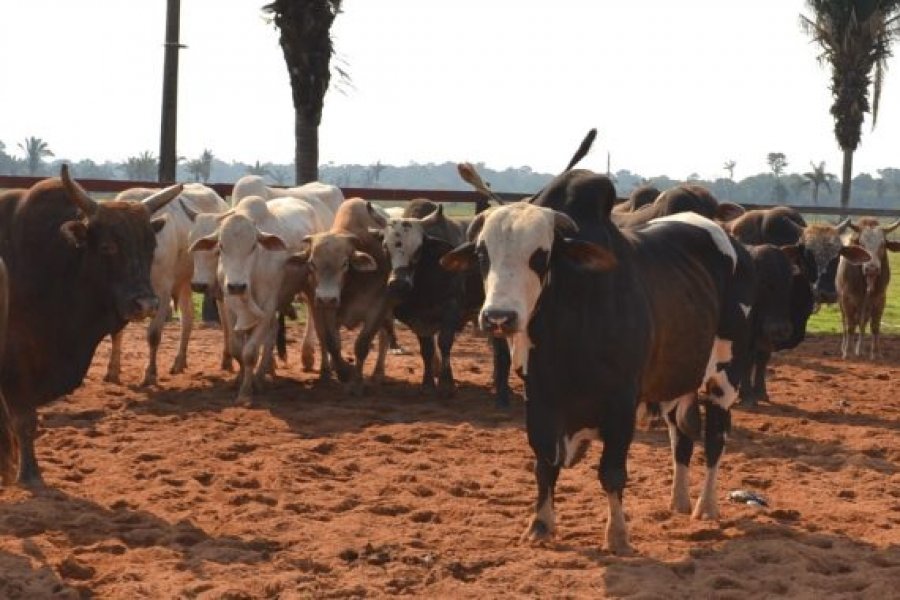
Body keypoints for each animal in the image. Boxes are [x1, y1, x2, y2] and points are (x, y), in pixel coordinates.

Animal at [0, 166, 181, 486]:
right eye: (108, 246)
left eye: (151, 246)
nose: (147, 303)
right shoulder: (15, 361)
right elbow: (23, 420)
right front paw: (29, 473)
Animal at [104, 183, 229, 386]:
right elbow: (116, 332)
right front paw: (113, 371)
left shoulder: (161, 293)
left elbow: (154, 335)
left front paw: (150, 373)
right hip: (186, 283)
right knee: (188, 319)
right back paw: (179, 361)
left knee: (225, 320)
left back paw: (227, 358)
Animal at [188, 196, 322, 404]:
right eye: (221, 246)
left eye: (253, 246)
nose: (236, 286)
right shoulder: (229, 306)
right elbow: (237, 349)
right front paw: (241, 379)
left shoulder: (267, 306)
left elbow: (250, 352)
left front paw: (245, 392)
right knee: (272, 332)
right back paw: (262, 375)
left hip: (309, 289)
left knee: (310, 318)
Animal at [442, 169, 752, 552]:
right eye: (483, 256)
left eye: (541, 255)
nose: (499, 317)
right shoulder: (540, 398)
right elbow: (544, 464)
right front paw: (540, 525)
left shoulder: (621, 403)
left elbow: (612, 473)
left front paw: (617, 536)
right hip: (676, 380)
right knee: (680, 438)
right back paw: (678, 501)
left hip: (724, 377)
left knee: (714, 440)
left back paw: (705, 507)